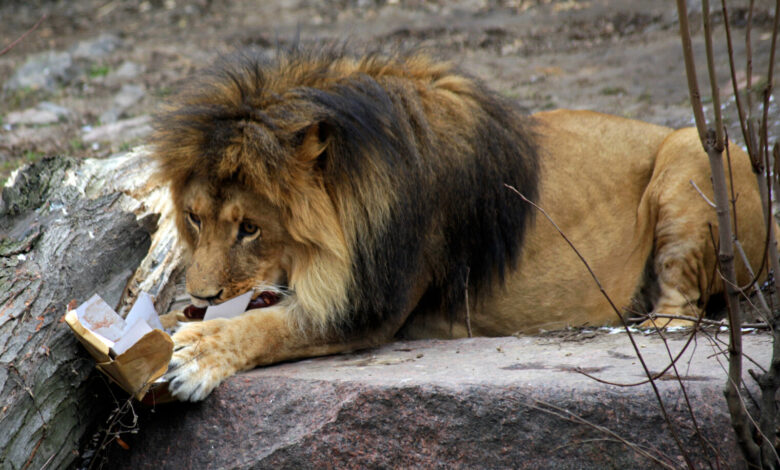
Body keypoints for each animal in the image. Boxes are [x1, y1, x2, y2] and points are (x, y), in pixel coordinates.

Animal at [152, 48, 770, 401]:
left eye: (250, 228)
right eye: (194, 218)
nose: (201, 295)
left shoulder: (370, 307)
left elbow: (269, 326)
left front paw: (195, 354)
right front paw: (168, 329)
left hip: (695, 150)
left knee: (688, 305)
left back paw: (650, 325)